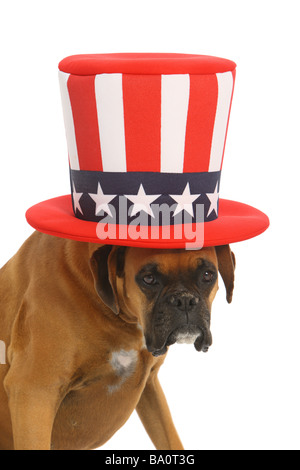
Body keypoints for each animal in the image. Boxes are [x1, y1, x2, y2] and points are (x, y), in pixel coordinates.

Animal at [0, 233, 234, 450]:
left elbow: (169, 436)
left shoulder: (150, 385)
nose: (184, 300)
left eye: (207, 275)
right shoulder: (34, 391)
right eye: (149, 278)